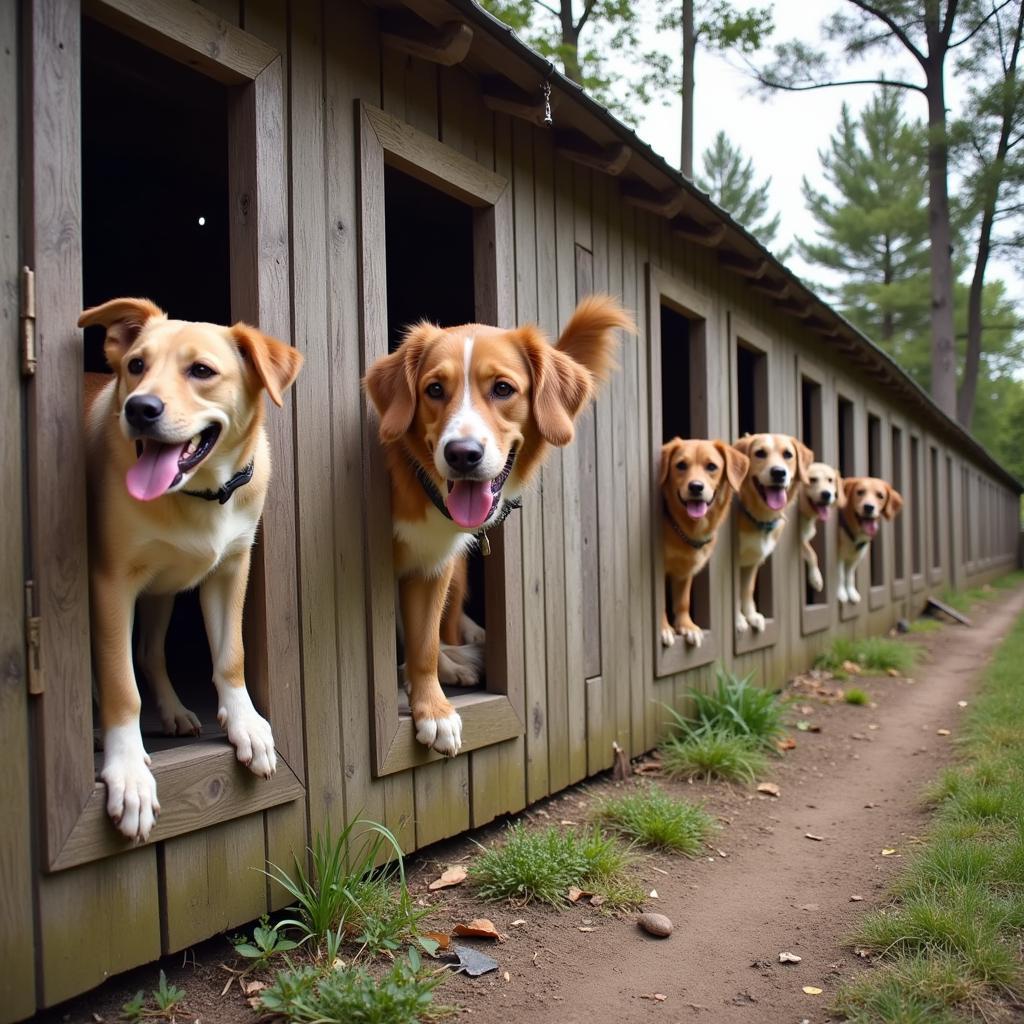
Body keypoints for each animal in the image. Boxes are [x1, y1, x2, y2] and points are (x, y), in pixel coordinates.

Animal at [77, 296, 301, 839]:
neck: (198, 494)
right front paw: (128, 769)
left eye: (201, 371)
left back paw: (176, 711)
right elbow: (120, 684)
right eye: (136, 365)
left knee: (150, 651)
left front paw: (246, 723)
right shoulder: (111, 584)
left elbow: (230, 654)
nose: (139, 408)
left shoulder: (231, 570)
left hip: (161, 593)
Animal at [364, 292, 626, 757]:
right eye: (434, 389)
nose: (462, 453)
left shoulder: (435, 568)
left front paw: (433, 706)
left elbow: (425, 643)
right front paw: (429, 703)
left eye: (503, 389)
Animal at [659, 440, 749, 647]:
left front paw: (687, 626)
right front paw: (663, 627)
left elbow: (683, 601)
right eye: (681, 465)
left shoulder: (684, 572)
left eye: (711, 467)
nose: (696, 486)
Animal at [733, 432, 811, 630]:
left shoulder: (751, 562)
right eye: (760, 453)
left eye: (788, 454)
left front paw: (751, 616)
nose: (778, 472)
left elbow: (747, 590)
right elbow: (734, 593)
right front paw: (738, 620)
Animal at [794, 462, 843, 598]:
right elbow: (813, 554)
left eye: (830, 480)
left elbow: (813, 554)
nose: (826, 494)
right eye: (812, 480)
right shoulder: (799, 539)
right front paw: (816, 578)